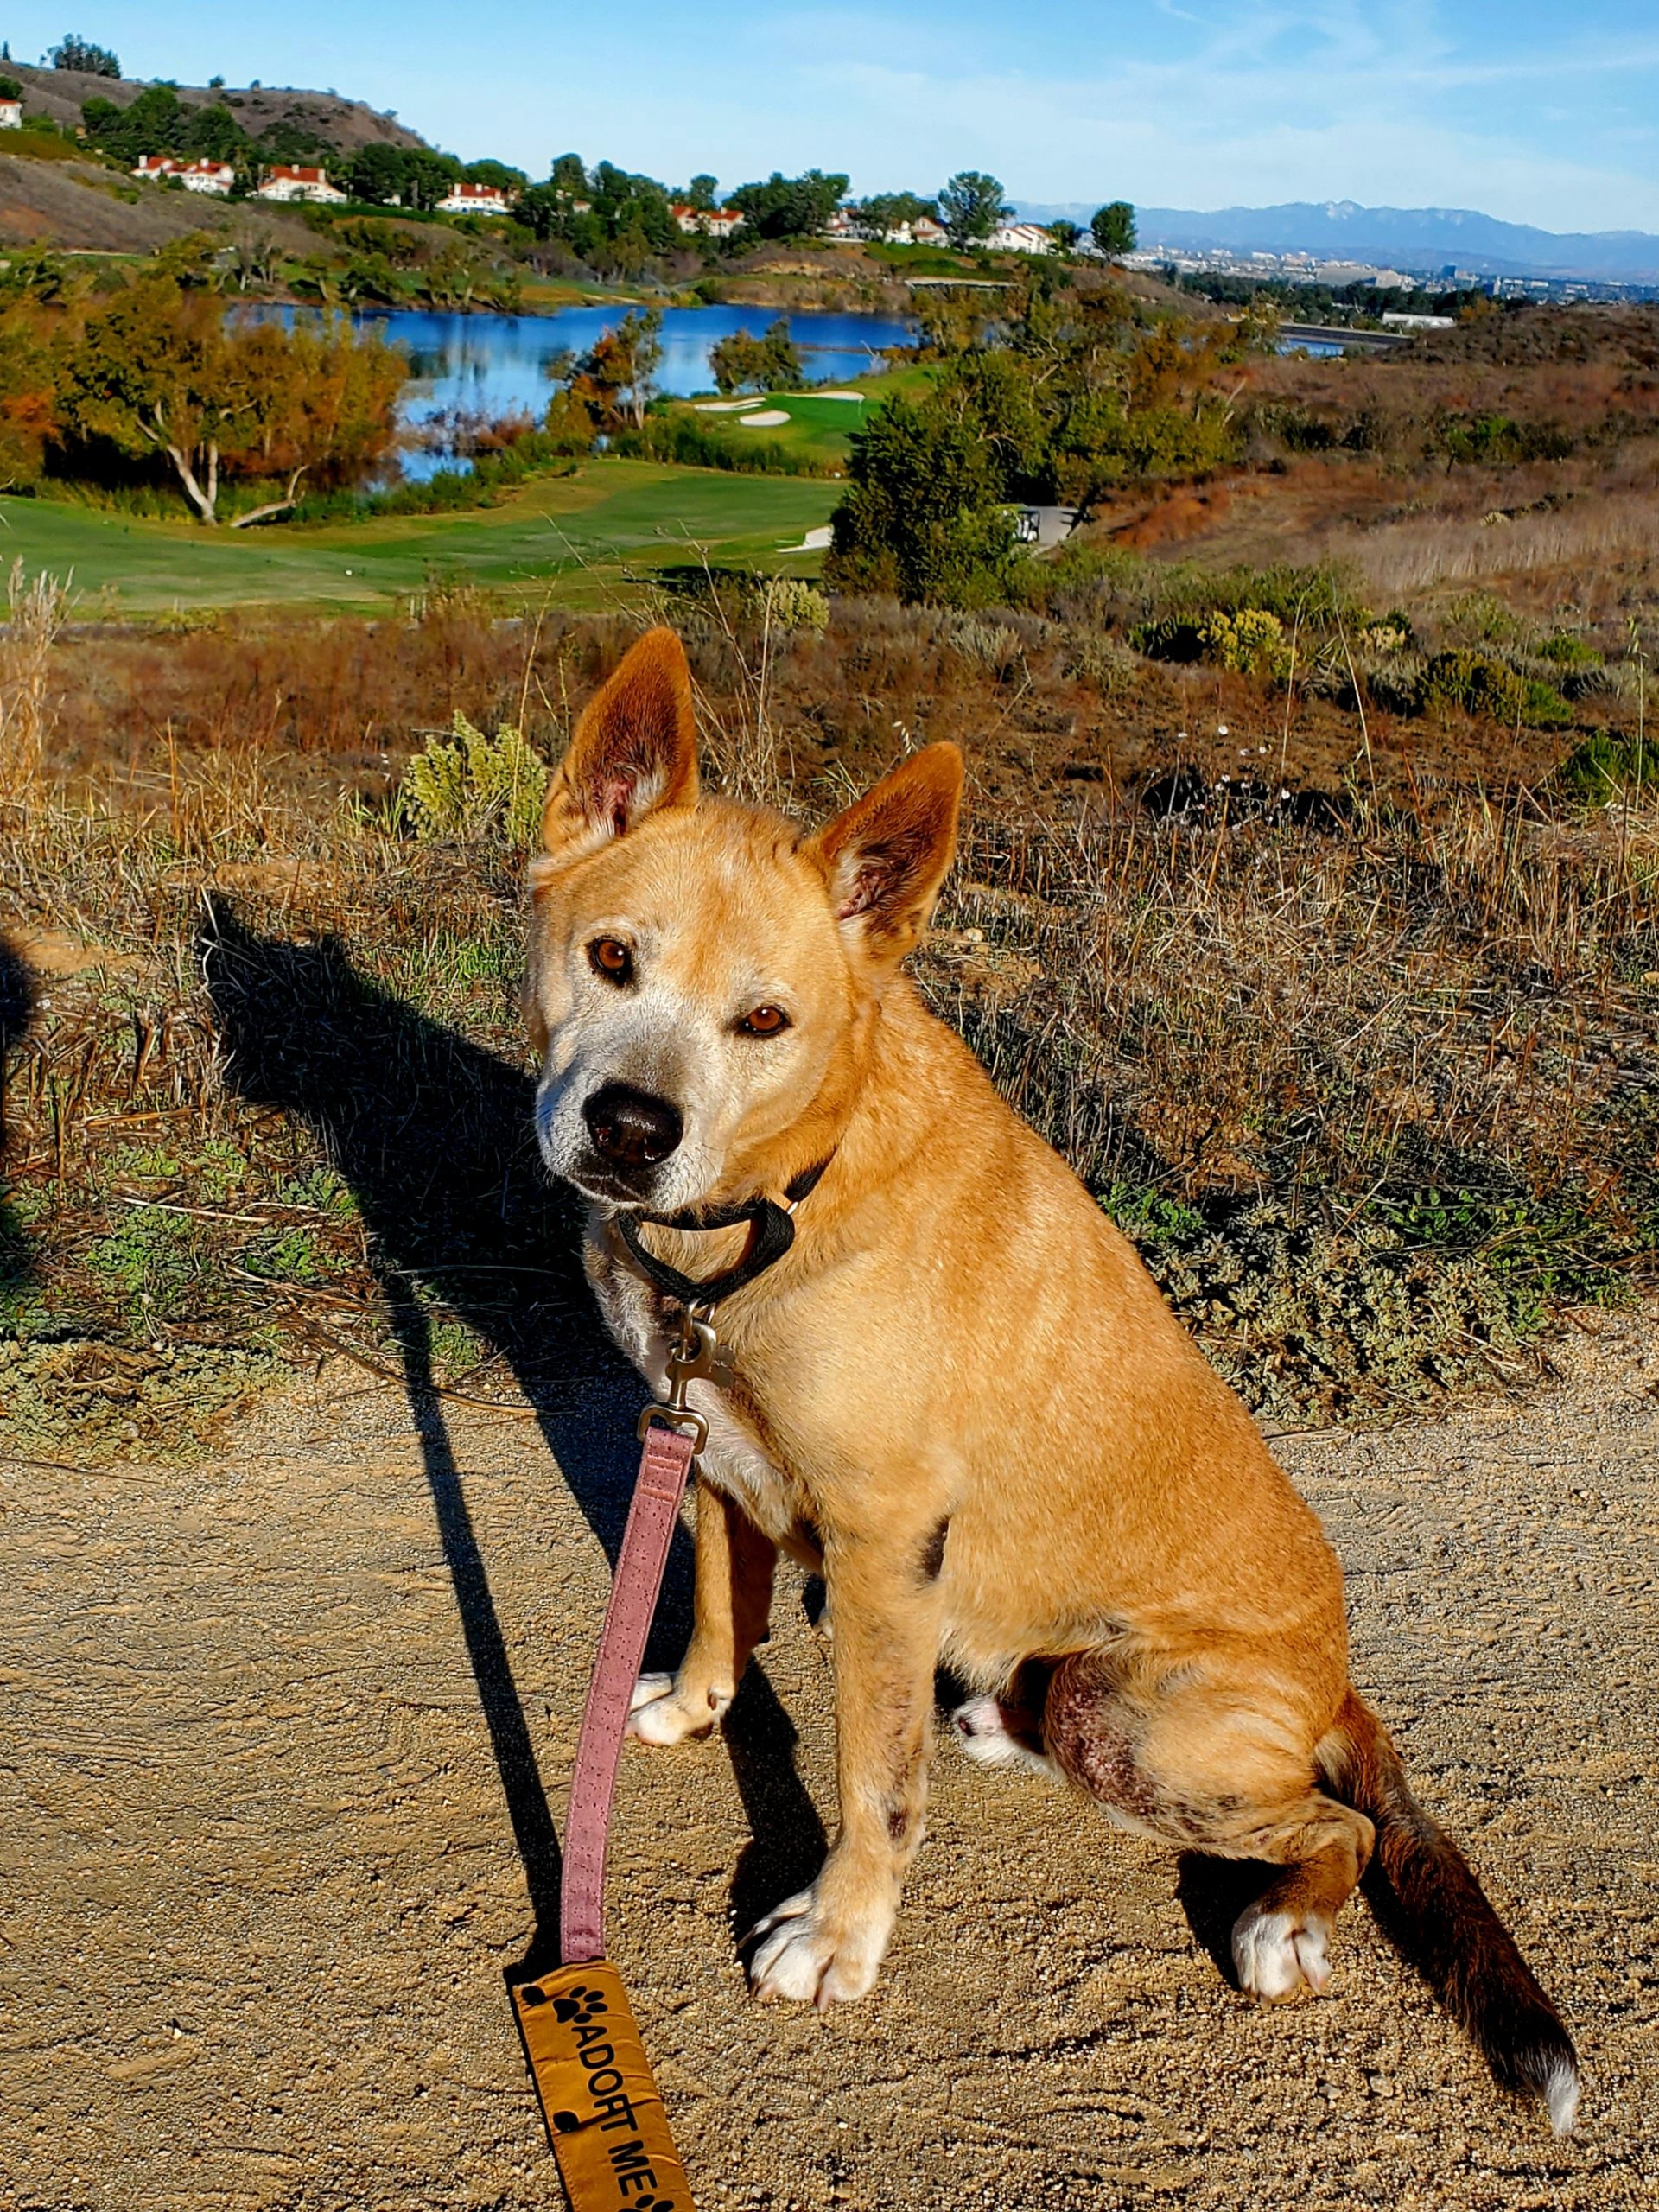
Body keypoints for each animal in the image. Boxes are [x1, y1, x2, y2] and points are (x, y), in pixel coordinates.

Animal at [528, 623, 1583, 2123]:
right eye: (611, 957)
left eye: (766, 1021)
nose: (628, 1128)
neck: (782, 1194)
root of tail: (1331, 1680)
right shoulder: (706, 1445)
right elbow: (723, 1604)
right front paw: (693, 1700)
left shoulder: (883, 1539)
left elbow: (873, 1777)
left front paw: (838, 1933)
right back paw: (994, 1718)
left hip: (1133, 1713)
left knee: (1344, 1827)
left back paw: (1282, 1921)